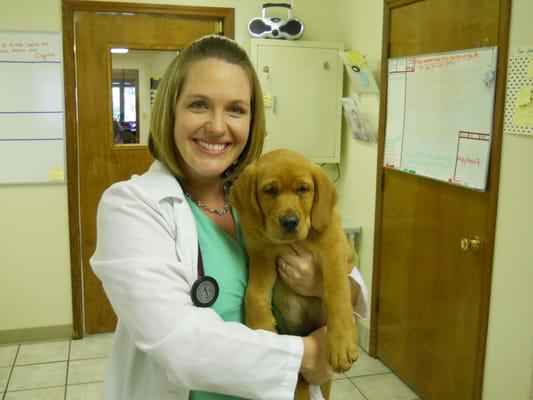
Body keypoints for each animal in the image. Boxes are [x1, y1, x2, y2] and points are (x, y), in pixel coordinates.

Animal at [229, 148, 358, 398]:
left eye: (303, 189)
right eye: (270, 190)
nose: (289, 221)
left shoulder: (336, 249)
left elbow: (337, 295)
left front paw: (341, 343)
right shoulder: (261, 255)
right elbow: (254, 293)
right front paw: (260, 325)